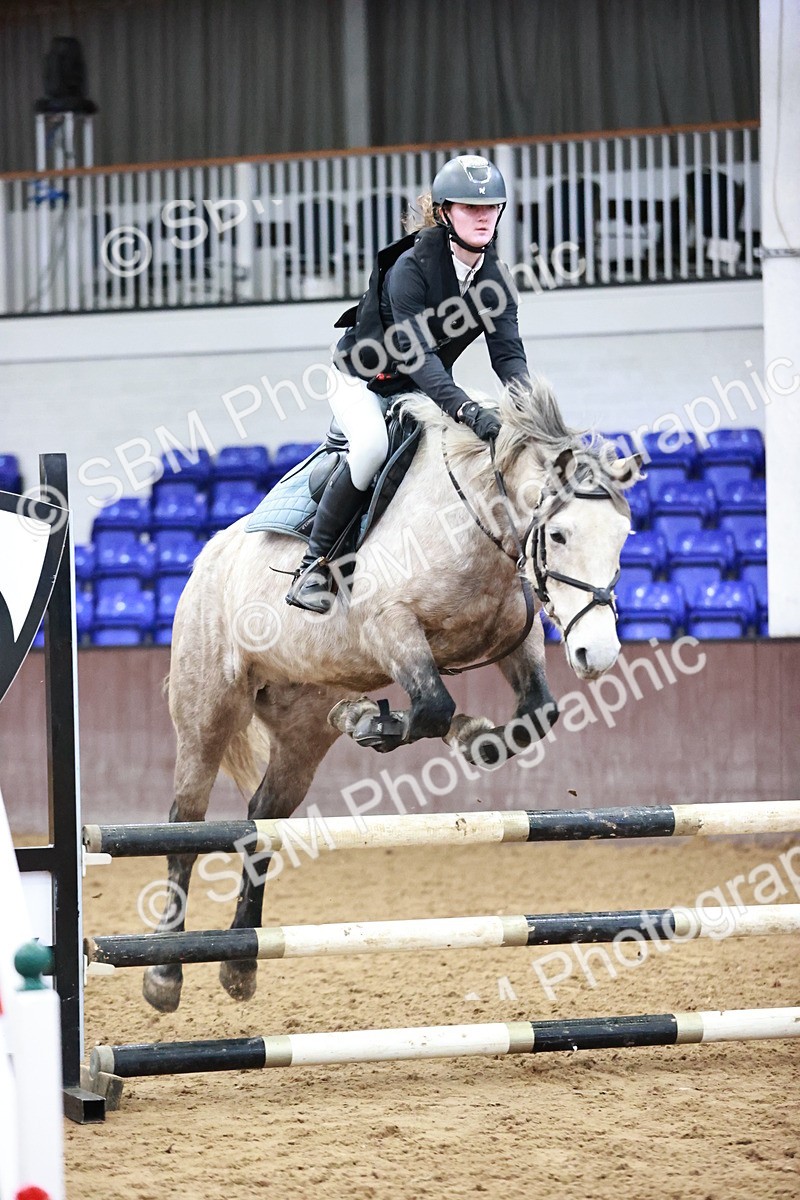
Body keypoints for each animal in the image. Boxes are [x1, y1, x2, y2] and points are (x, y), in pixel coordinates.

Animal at [143, 380, 642, 1012]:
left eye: (623, 536)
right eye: (559, 534)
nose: (597, 654)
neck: (476, 521)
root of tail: (208, 555)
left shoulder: (514, 639)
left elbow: (530, 715)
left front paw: (467, 737)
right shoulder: (392, 627)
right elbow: (433, 706)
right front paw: (373, 722)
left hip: (302, 729)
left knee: (263, 820)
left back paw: (240, 965)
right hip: (208, 709)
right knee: (184, 827)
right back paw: (164, 974)